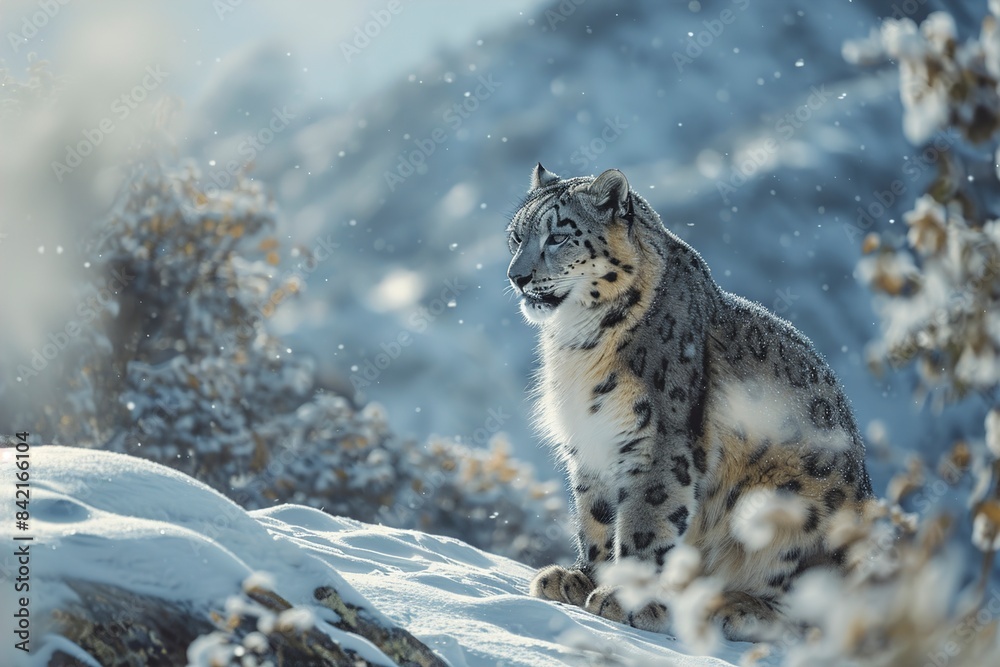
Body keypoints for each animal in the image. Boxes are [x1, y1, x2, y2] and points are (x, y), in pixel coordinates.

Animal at [506, 164, 875, 641]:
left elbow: (647, 520)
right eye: (516, 236)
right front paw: (583, 577)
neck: (576, 345)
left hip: (793, 512)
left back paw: (734, 607)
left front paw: (623, 599)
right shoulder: (593, 441)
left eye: (557, 236)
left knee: (813, 612)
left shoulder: (659, 440)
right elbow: (596, 517)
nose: (517, 277)